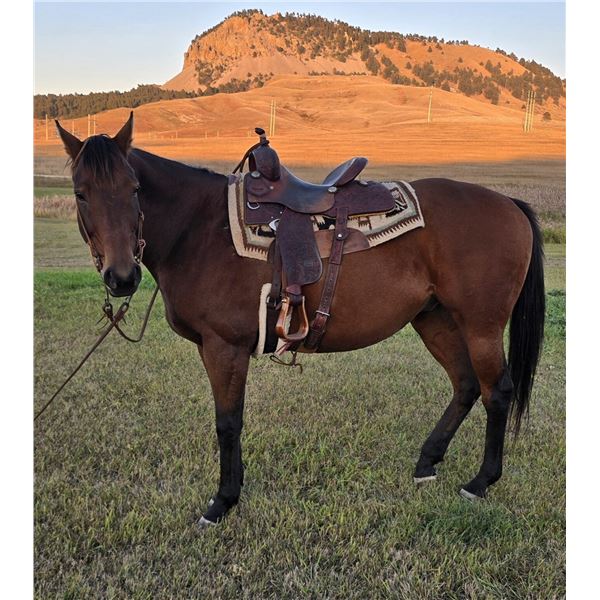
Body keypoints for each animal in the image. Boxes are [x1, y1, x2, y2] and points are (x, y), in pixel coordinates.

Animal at [54, 113, 545, 526]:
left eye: (134, 189)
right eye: (80, 194)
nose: (121, 276)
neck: (200, 228)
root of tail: (508, 203)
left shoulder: (224, 347)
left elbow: (227, 423)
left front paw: (222, 501)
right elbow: (231, 421)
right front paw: (231, 493)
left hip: (480, 325)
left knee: (496, 392)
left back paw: (480, 482)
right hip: (434, 319)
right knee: (465, 385)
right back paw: (427, 462)